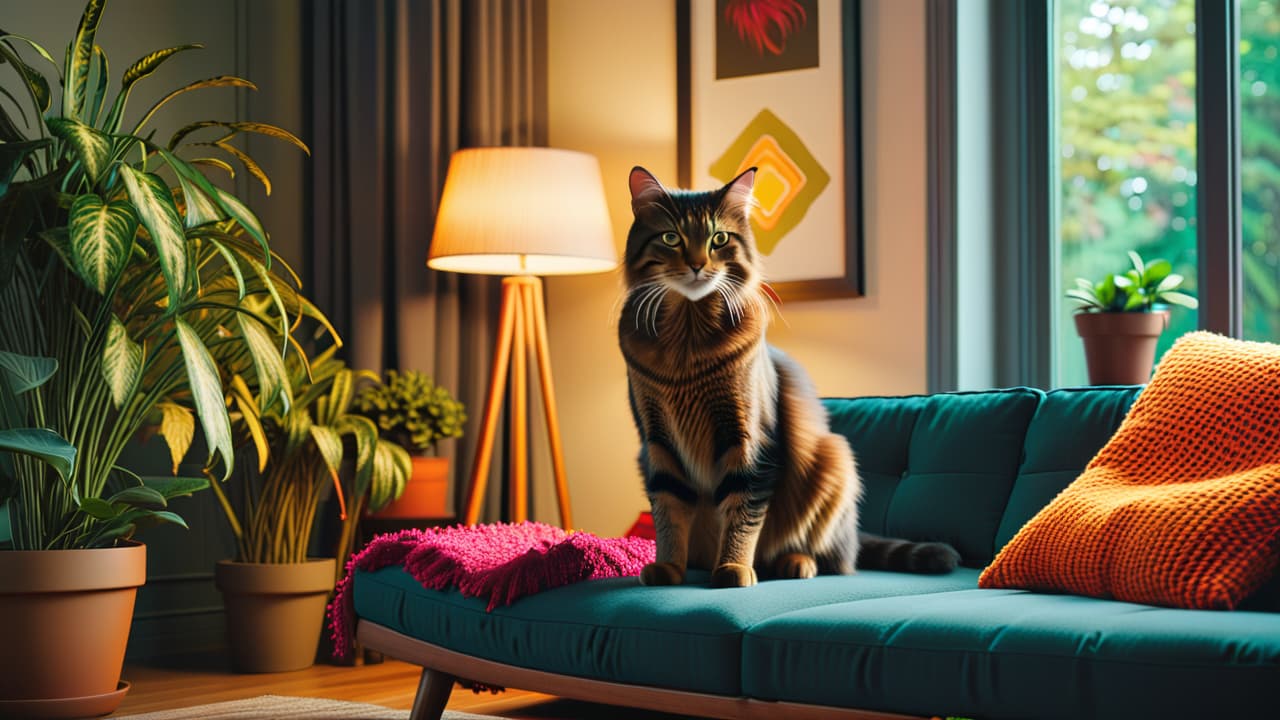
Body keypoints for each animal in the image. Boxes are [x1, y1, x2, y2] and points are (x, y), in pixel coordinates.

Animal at [619, 165, 962, 586]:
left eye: (719, 239)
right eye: (671, 238)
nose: (698, 265)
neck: (688, 347)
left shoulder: (750, 440)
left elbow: (743, 511)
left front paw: (733, 568)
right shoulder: (657, 442)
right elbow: (668, 512)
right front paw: (669, 566)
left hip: (832, 457)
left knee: (830, 557)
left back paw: (795, 563)